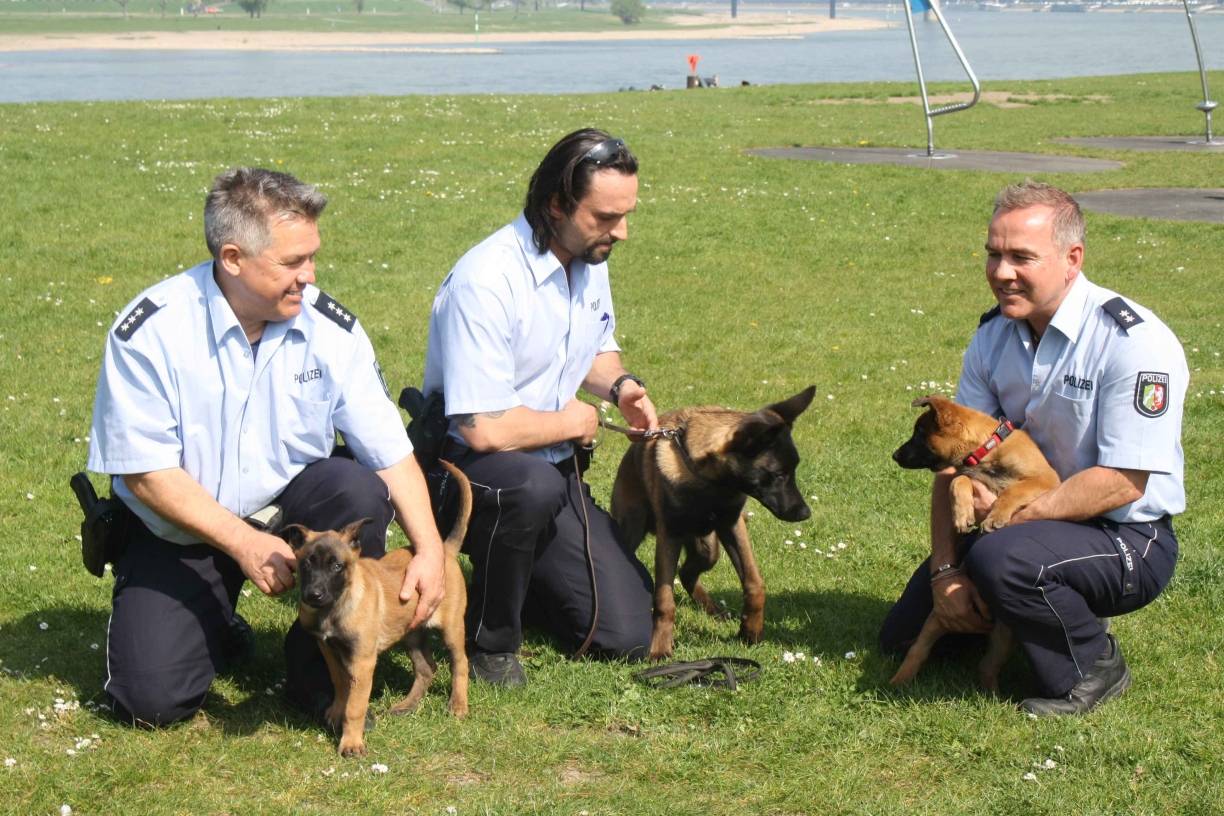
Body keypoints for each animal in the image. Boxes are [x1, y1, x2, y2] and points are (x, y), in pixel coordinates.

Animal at [286, 459, 472, 758]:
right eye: (306, 564)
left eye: (336, 566)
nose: (313, 595)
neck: (336, 607)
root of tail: (445, 549)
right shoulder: (329, 650)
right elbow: (340, 684)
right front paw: (336, 712)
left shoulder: (362, 661)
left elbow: (355, 706)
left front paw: (351, 742)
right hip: (412, 632)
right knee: (427, 667)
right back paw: (407, 705)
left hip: (451, 628)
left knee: (460, 664)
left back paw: (458, 705)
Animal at [609, 386, 812, 660]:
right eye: (779, 474)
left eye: (794, 469)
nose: (805, 513)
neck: (710, 483)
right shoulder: (669, 536)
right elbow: (664, 600)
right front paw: (660, 647)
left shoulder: (732, 526)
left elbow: (754, 582)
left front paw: (750, 630)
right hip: (632, 530)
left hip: (708, 548)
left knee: (686, 572)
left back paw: (714, 609)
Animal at [891, 398, 1062, 694]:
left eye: (919, 435)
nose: (894, 455)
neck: (987, 450)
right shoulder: (969, 477)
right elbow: (959, 480)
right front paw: (962, 515)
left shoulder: (1046, 480)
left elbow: (1012, 490)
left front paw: (996, 516)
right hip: (938, 619)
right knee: (918, 651)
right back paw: (897, 682)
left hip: (1003, 637)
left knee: (987, 667)